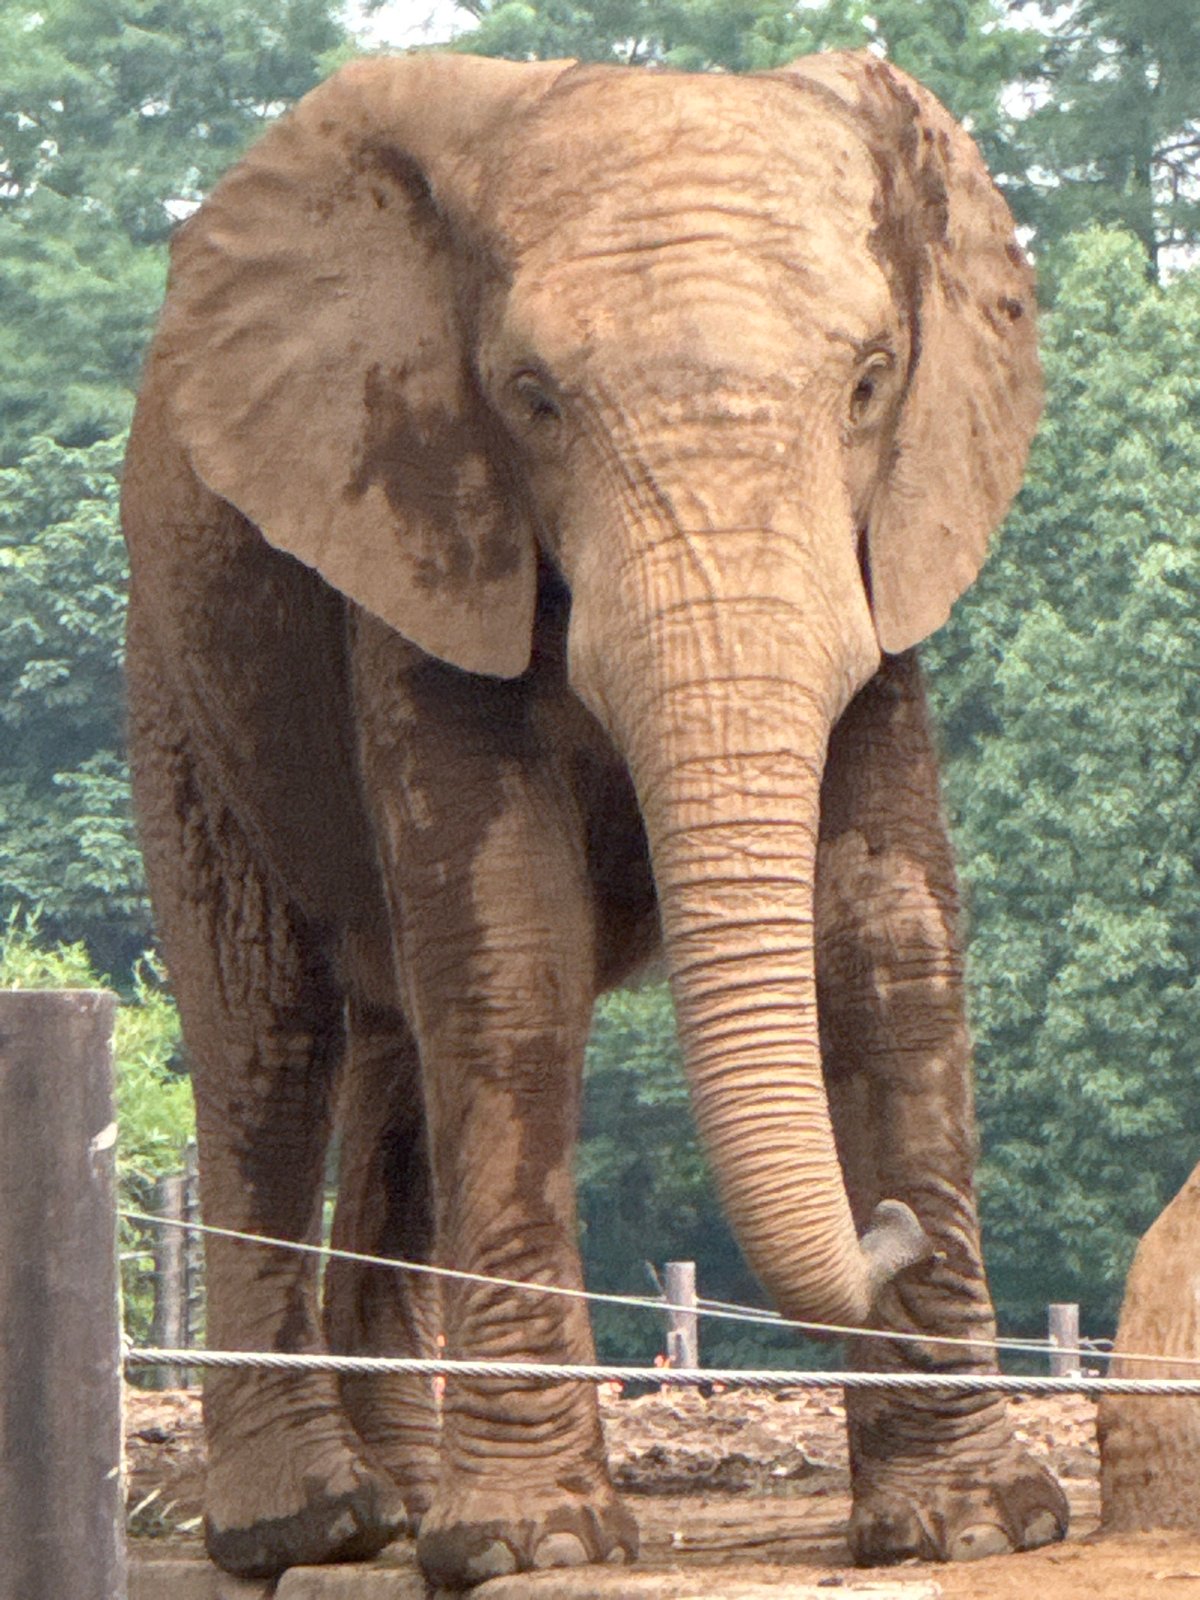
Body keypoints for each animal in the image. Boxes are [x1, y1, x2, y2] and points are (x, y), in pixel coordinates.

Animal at [121, 48, 1071, 1588]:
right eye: (531, 398)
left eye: (872, 383)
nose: (890, 1231)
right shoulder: (421, 515)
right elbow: (514, 947)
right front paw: (532, 1543)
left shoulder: (889, 551)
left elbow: (885, 932)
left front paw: (982, 1522)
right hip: (175, 670)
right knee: (267, 1038)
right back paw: (310, 1523)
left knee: (392, 1055)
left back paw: (398, 1503)